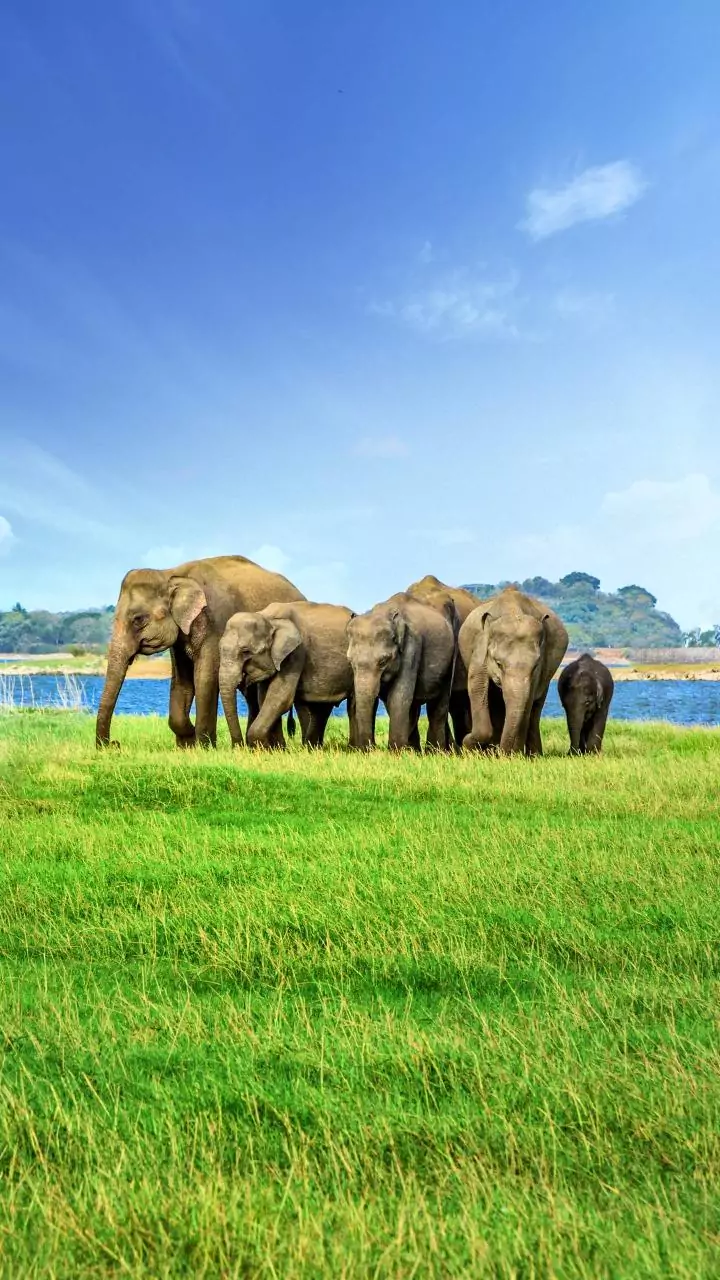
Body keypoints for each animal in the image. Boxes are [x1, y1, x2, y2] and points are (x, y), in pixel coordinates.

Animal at [96, 556, 305, 749]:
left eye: (138, 619)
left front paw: (204, 746)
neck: (170, 574)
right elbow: (181, 681)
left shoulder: (215, 623)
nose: (115, 743)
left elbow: (204, 678)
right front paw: (186, 744)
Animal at [219, 601, 356, 749]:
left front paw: (262, 747)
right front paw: (277, 749)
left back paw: (352, 748)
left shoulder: (295, 652)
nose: (239, 747)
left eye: (246, 651)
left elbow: (280, 698)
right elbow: (265, 698)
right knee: (321, 708)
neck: (268, 617)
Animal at [346, 593, 456, 751]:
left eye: (383, 662)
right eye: (350, 662)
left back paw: (435, 751)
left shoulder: (412, 645)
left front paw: (396, 752)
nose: (371, 749)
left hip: (451, 657)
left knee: (439, 706)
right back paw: (415, 750)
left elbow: (398, 697)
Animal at [459, 587, 568, 756]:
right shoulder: (479, 649)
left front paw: (512, 756)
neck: (513, 610)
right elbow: (477, 687)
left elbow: (527, 701)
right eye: (498, 664)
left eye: (535, 666)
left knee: (535, 710)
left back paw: (533, 755)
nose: (504, 753)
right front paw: (470, 749)